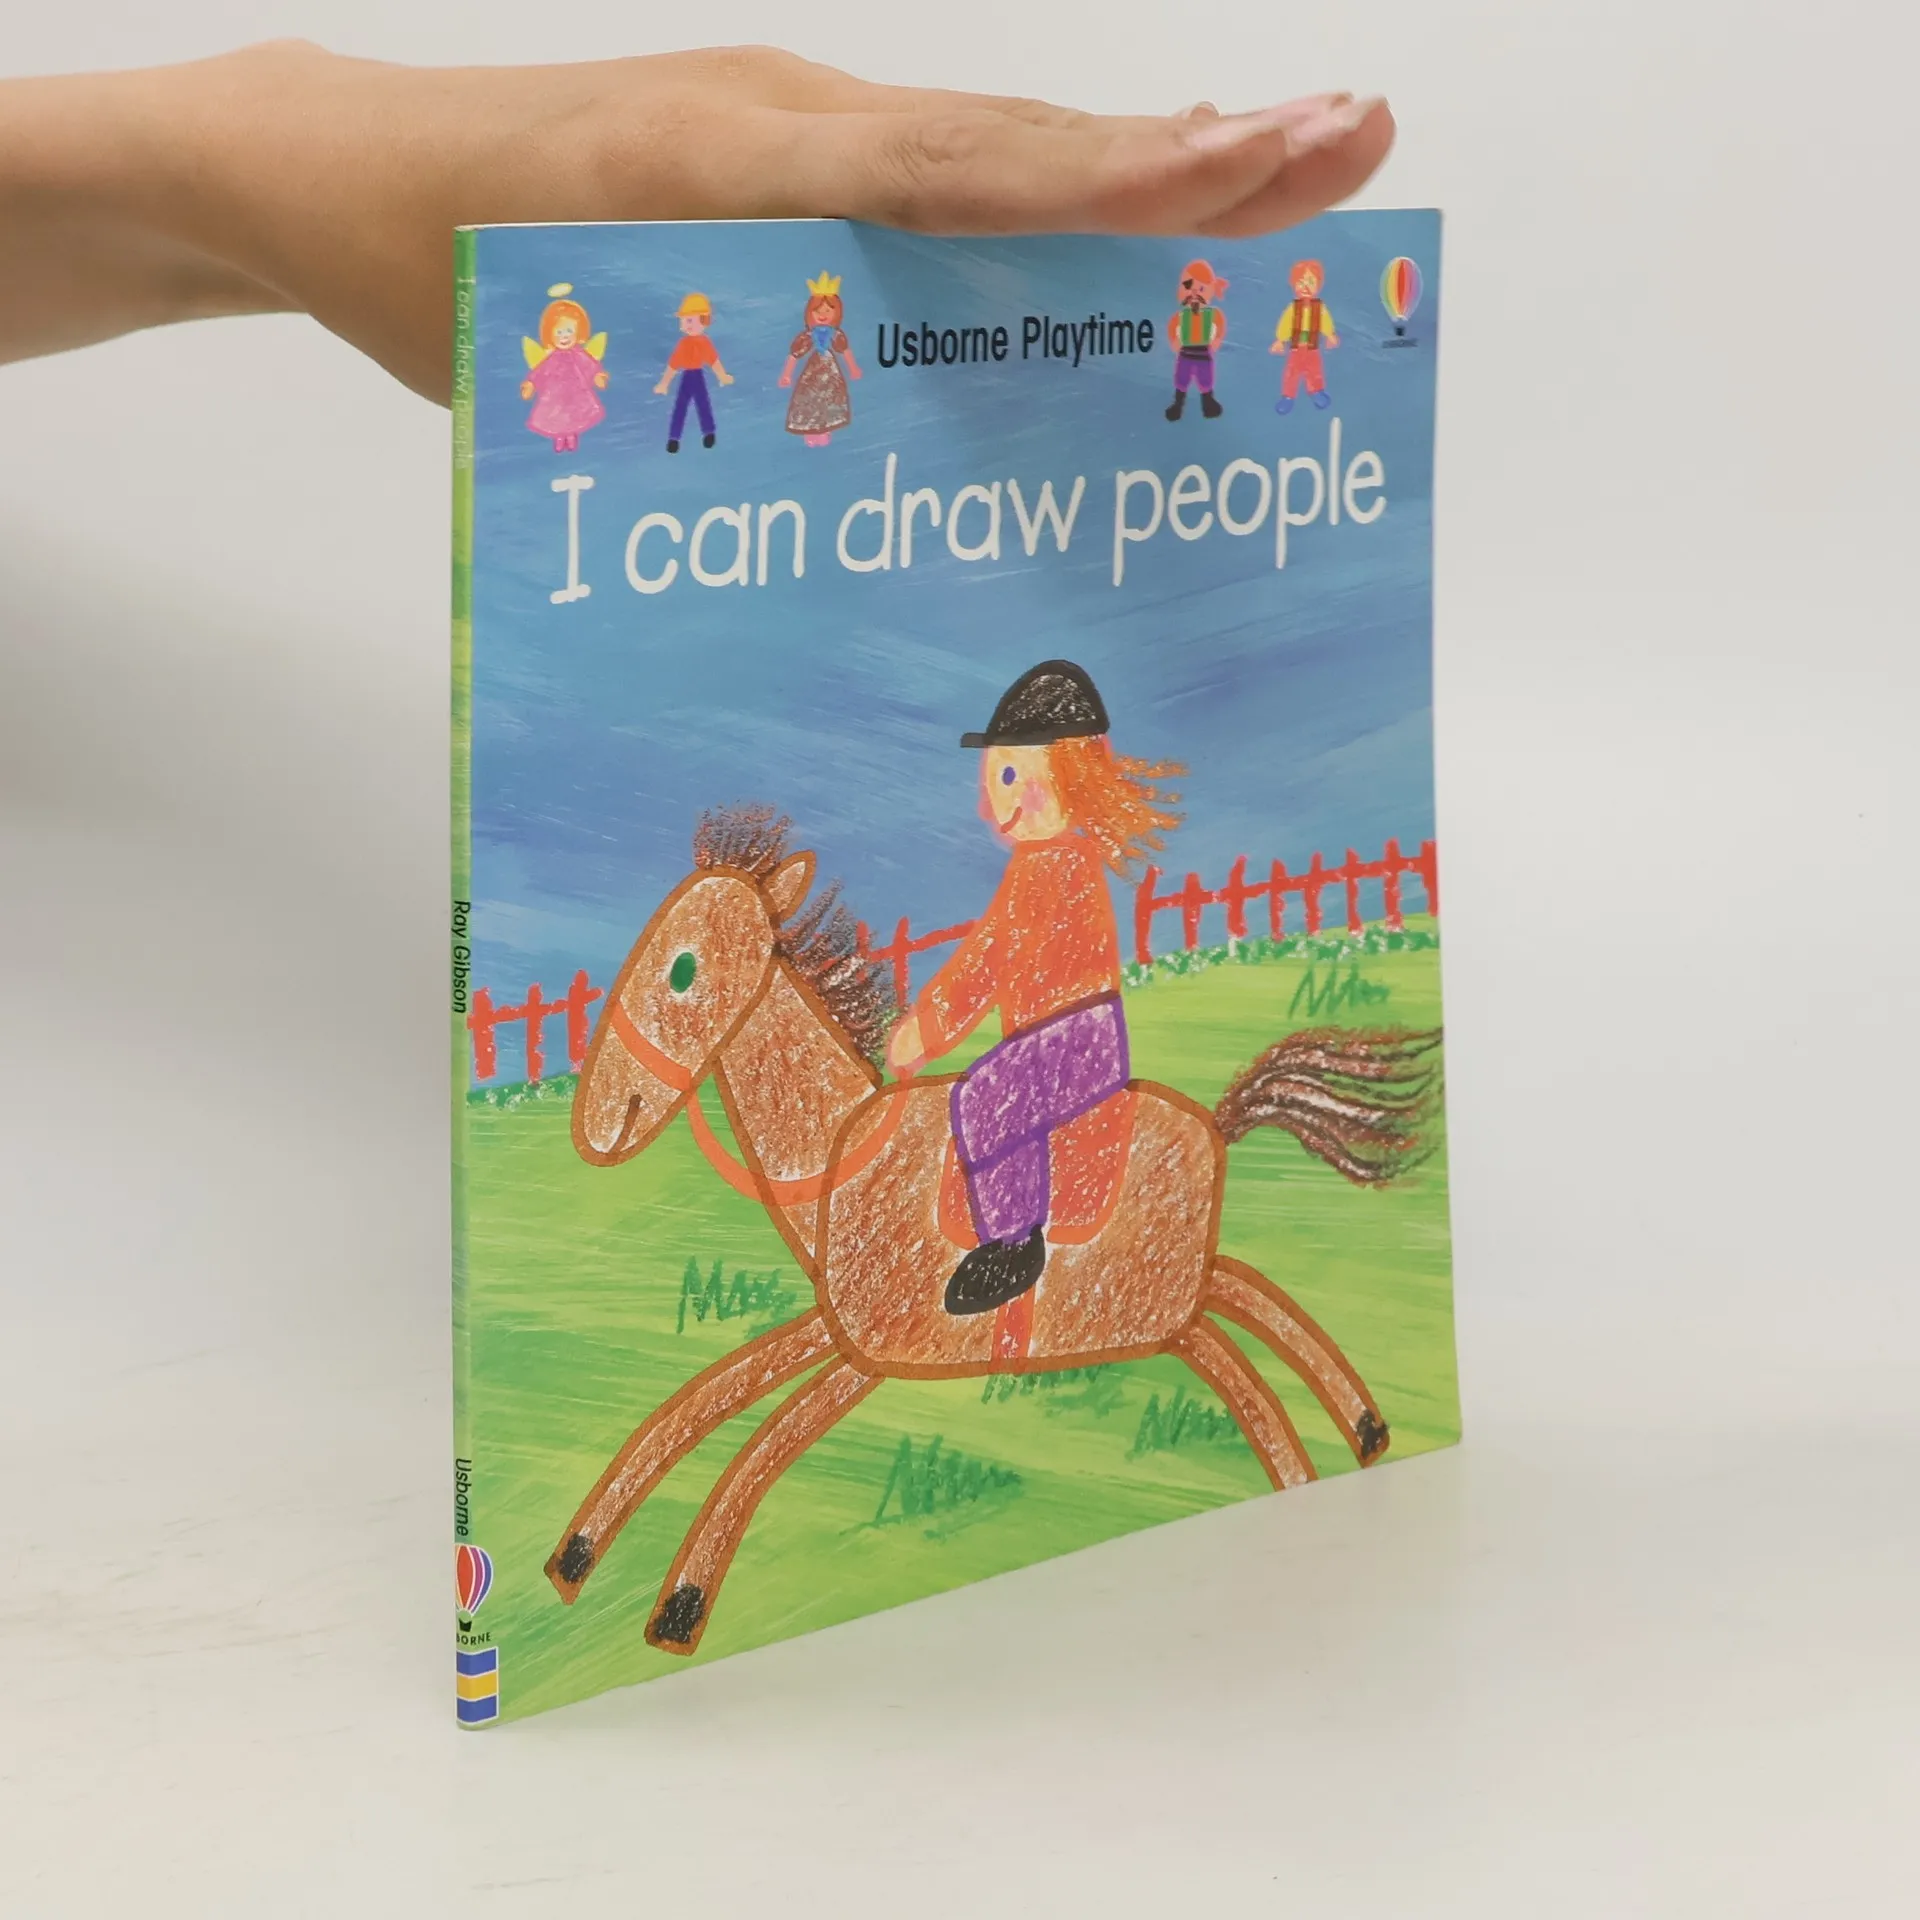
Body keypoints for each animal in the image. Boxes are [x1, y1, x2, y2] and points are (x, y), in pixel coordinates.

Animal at [546, 806, 1442, 1655]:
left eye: (682, 969)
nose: (594, 1127)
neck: (841, 1153)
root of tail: (1217, 1125)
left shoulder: (868, 1355)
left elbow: (759, 1443)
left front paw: (680, 1605)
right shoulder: (836, 1330)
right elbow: (706, 1397)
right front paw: (574, 1557)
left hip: (1162, 1305)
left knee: (1250, 1358)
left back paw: (1330, 1448)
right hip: (1177, 1299)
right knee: (1254, 1307)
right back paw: (1364, 1431)